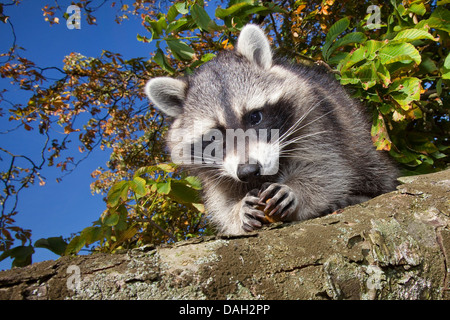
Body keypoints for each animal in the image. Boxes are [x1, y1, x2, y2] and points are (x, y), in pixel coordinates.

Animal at [143, 23, 398, 235]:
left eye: (254, 117)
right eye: (214, 136)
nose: (248, 171)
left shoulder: (317, 120)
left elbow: (329, 168)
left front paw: (296, 190)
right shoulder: (214, 172)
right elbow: (222, 202)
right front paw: (237, 209)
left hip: (358, 134)